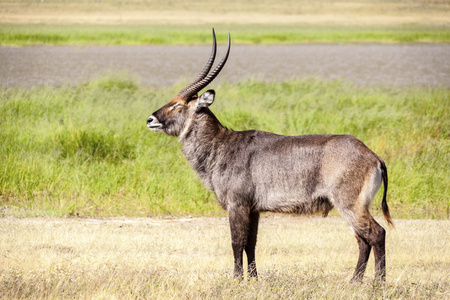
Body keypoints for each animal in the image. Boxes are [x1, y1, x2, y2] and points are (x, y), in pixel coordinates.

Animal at [146, 29, 392, 282]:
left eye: (177, 105)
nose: (150, 119)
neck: (220, 144)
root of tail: (373, 156)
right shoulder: (253, 209)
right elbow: (250, 244)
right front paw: (254, 279)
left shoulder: (237, 205)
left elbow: (236, 242)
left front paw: (237, 280)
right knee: (363, 241)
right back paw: (355, 281)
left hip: (350, 205)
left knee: (377, 234)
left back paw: (378, 282)